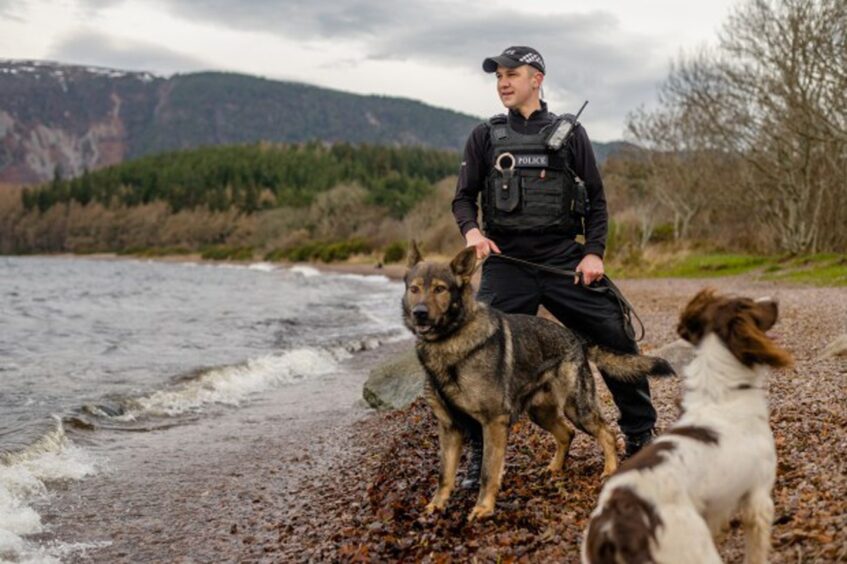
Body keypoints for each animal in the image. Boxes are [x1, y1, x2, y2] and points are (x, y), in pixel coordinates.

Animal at [404, 245, 676, 524]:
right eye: (414, 289)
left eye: (440, 289)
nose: (419, 313)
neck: (448, 343)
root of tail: (577, 338)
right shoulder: (449, 427)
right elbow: (444, 474)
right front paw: (436, 505)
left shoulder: (493, 422)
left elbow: (488, 471)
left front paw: (483, 507)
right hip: (540, 413)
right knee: (567, 434)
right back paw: (556, 467)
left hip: (577, 409)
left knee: (607, 433)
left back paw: (610, 469)